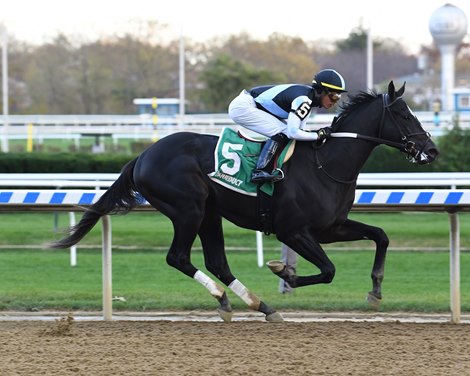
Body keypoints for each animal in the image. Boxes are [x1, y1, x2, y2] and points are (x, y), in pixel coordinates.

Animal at [49, 82, 438, 324]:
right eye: (404, 115)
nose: (431, 150)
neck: (326, 164)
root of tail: (142, 155)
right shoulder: (294, 231)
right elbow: (328, 270)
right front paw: (284, 272)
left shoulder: (330, 227)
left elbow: (381, 235)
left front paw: (375, 290)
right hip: (188, 209)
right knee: (178, 257)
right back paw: (228, 298)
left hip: (209, 213)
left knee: (217, 262)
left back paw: (255, 304)